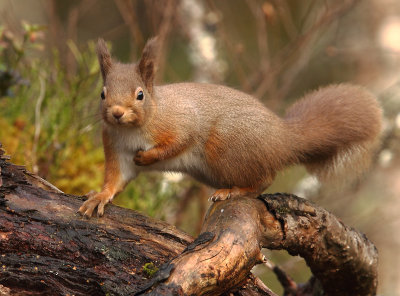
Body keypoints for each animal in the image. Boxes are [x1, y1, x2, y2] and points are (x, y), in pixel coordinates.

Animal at [77, 37, 382, 217]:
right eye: (102, 94)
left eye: (140, 95)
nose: (116, 113)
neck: (135, 128)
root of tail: (283, 139)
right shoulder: (116, 147)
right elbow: (116, 179)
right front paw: (99, 196)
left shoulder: (182, 122)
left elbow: (176, 143)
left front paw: (149, 157)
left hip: (223, 147)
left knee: (264, 179)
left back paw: (235, 191)